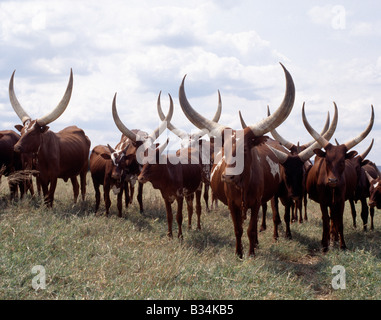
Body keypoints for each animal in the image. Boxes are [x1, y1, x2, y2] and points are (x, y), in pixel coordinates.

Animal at [9, 69, 90, 208]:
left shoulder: (53, 176)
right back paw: (74, 205)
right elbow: (46, 194)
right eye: (22, 132)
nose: (16, 147)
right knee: (76, 186)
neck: (43, 155)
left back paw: (82, 204)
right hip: (72, 172)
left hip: (83, 169)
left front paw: (50, 208)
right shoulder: (41, 176)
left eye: (33, 133)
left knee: (83, 187)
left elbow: (50, 195)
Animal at [177, 63, 296, 258]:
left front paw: (251, 253)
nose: (228, 177)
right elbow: (238, 229)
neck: (243, 185)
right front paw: (239, 253)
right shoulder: (233, 205)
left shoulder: (256, 203)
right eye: (223, 149)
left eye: (245, 148)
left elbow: (251, 229)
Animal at [302, 104, 374, 251]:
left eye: (342, 161)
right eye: (327, 160)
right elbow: (325, 220)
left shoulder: (341, 200)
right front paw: (324, 245)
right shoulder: (323, 201)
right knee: (330, 218)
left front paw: (342, 245)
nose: (333, 180)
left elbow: (339, 221)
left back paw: (334, 238)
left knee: (334, 218)